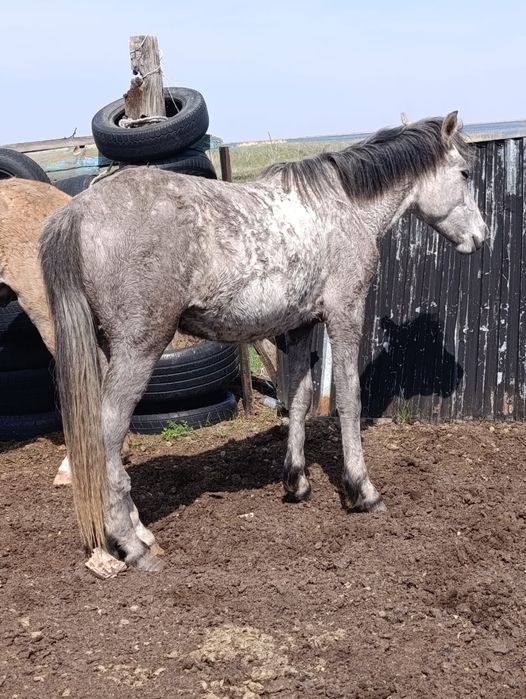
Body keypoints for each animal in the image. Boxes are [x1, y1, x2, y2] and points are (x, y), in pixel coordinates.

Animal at [40, 112, 486, 572]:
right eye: (464, 173)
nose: (481, 236)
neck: (343, 207)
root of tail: (76, 211)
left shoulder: (301, 325)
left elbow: (301, 399)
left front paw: (297, 482)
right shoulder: (345, 314)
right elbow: (349, 398)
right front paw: (362, 491)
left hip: (106, 349)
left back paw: (140, 532)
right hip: (138, 350)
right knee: (108, 430)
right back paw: (132, 545)